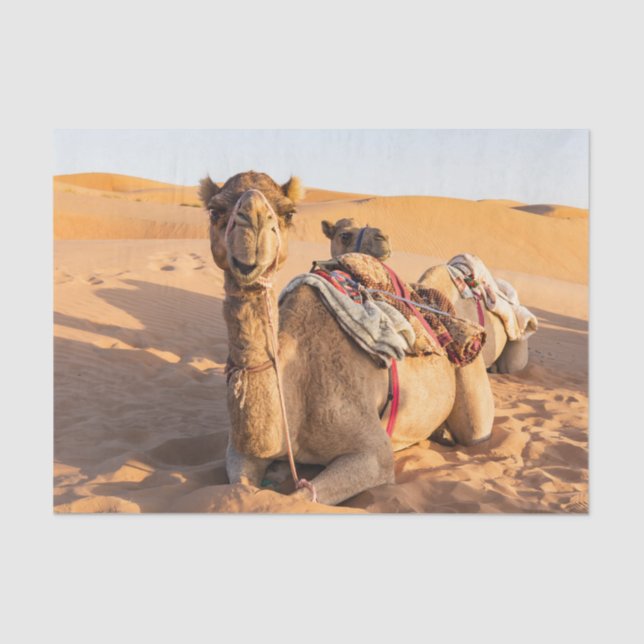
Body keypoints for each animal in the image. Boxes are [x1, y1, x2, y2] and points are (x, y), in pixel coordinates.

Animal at [199, 171, 494, 506]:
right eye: (215, 211)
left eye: (288, 213)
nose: (254, 225)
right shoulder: (239, 451)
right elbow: (242, 487)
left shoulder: (374, 453)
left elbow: (298, 498)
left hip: (470, 380)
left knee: (475, 430)